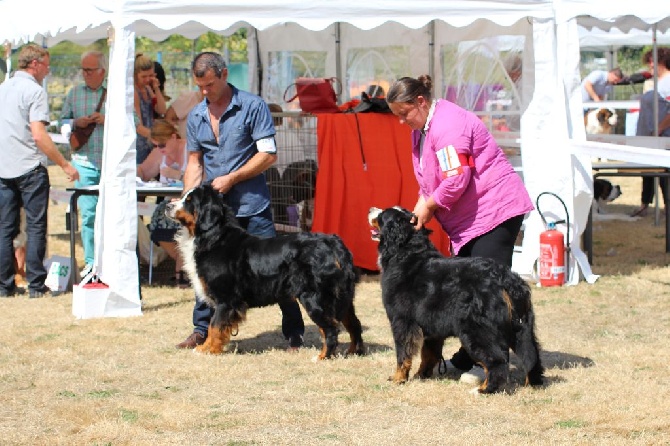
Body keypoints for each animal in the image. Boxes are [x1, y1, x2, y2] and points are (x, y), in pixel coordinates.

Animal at [168, 186, 368, 358]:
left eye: (189, 201)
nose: (168, 205)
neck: (213, 237)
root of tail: (333, 243)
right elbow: (215, 327)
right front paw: (207, 347)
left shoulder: (225, 299)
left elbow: (214, 326)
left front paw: (206, 350)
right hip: (344, 299)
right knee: (354, 325)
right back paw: (353, 352)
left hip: (314, 297)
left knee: (330, 329)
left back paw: (322, 357)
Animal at [368, 206, 544, 394]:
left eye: (381, 216)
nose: (371, 209)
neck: (405, 253)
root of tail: (506, 279)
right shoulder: (431, 325)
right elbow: (428, 354)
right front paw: (421, 375)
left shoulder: (402, 321)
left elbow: (403, 354)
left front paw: (398, 378)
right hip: (521, 328)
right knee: (531, 356)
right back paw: (531, 384)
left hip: (476, 330)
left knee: (497, 360)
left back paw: (483, 390)